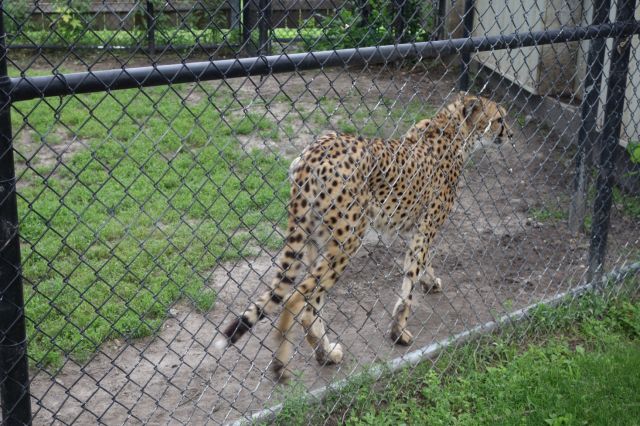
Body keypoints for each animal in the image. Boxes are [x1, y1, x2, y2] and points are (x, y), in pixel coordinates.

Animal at [218, 94, 512, 380]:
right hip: (348, 240)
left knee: (311, 302)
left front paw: (431, 282)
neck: (456, 129)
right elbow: (410, 281)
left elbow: (421, 264)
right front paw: (399, 332)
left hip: (314, 239)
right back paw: (282, 361)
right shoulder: (426, 226)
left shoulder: (414, 227)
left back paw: (325, 353)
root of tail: (314, 151)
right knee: (296, 299)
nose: (510, 134)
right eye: (500, 119)